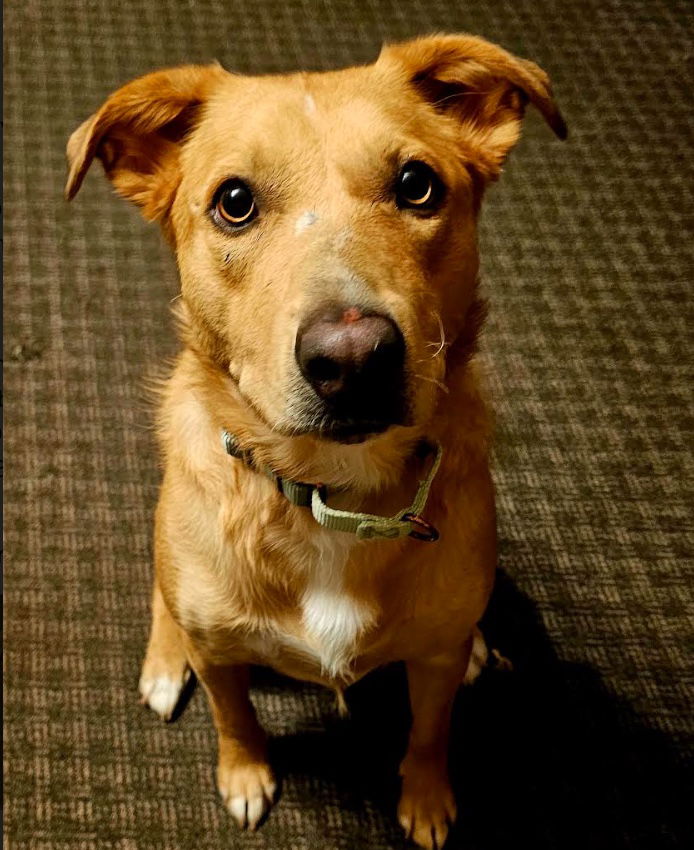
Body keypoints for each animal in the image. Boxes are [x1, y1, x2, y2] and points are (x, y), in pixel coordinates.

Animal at [66, 33, 565, 848]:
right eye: (234, 202)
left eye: (417, 185)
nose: (353, 359)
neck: (333, 491)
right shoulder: (221, 656)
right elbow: (234, 716)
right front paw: (244, 776)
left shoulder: (431, 662)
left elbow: (430, 732)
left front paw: (426, 799)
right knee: (165, 601)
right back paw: (165, 662)